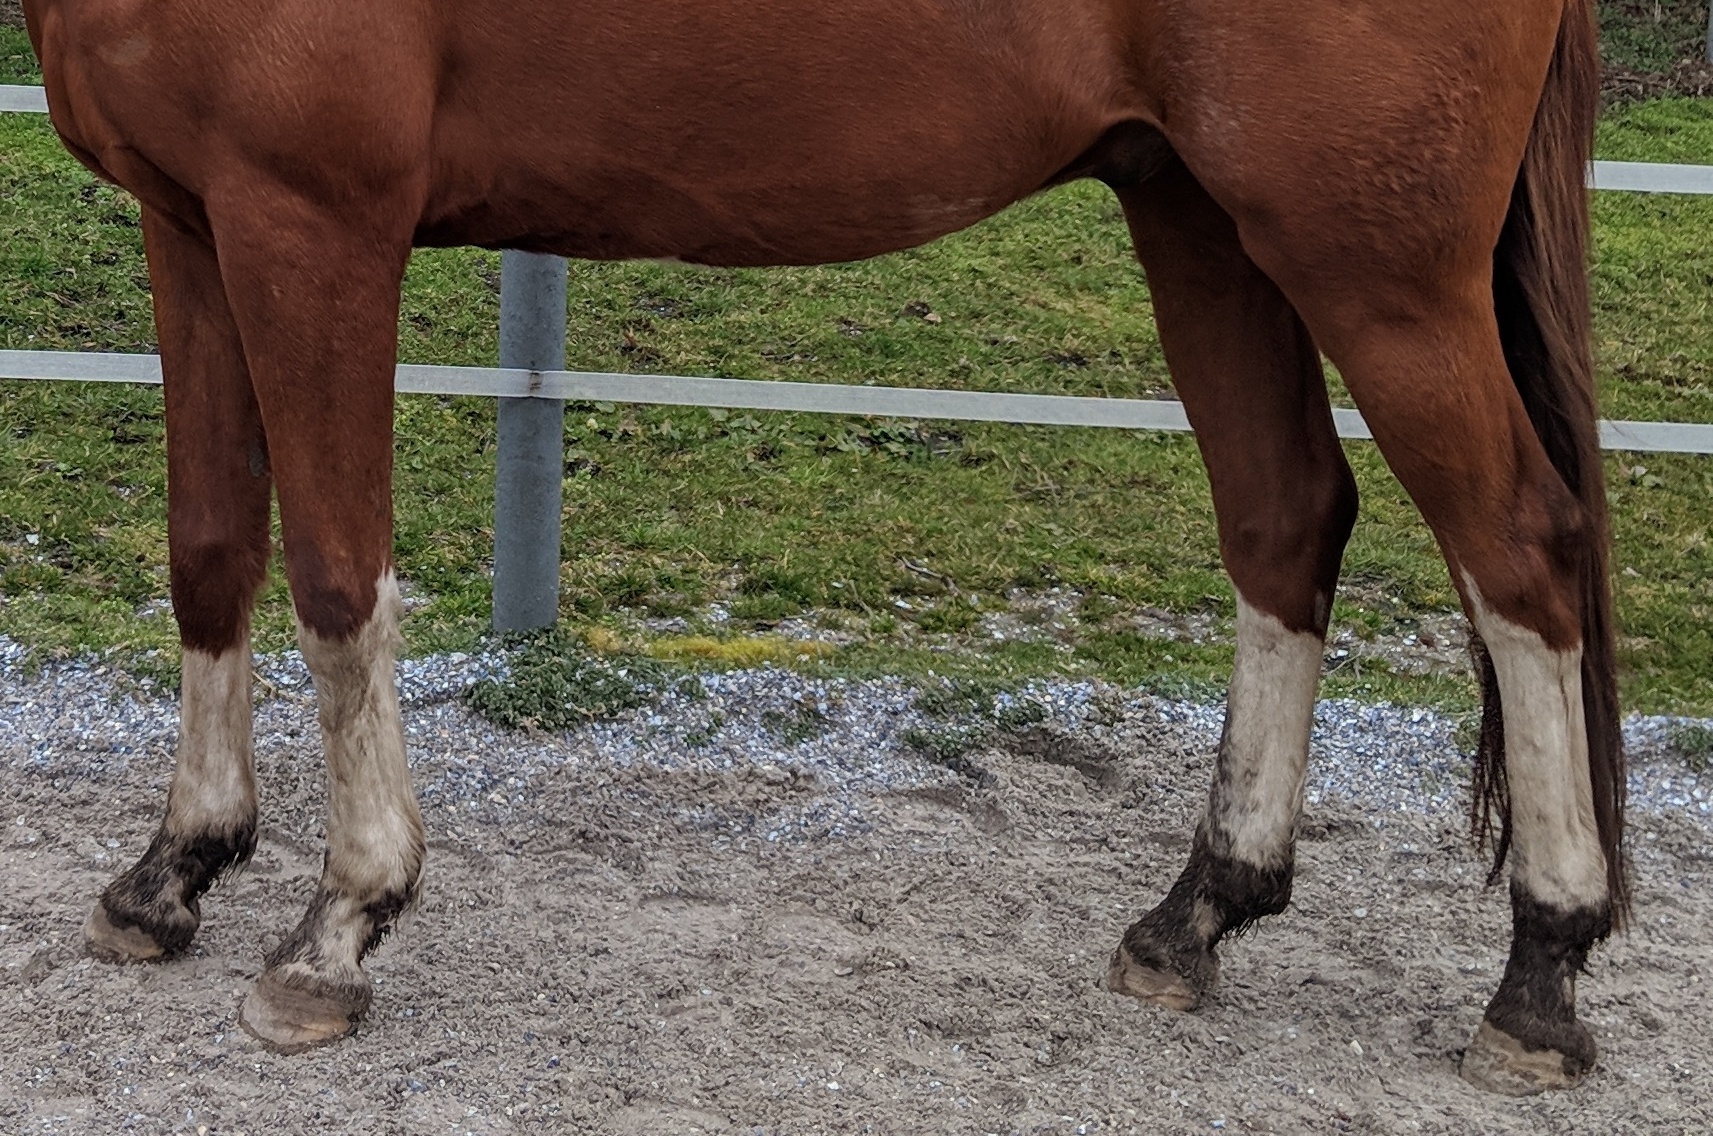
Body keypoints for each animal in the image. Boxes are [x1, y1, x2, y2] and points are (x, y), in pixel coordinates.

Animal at [22, 0, 1626, 1095]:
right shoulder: (191, 219)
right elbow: (209, 548)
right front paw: (170, 873)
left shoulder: (311, 221)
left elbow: (337, 575)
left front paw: (338, 928)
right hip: (1202, 217)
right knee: (1284, 521)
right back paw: (1197, 915)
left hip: (1377, 266)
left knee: (1521, 553)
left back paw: (1539, 974)